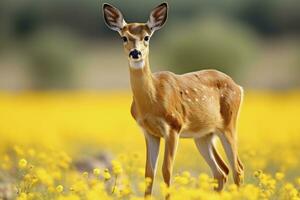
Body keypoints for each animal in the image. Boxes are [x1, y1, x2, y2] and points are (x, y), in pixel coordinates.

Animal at [102, 2, 244, 198]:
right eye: (124, 37)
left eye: (146, 37)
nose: (135, 53)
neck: (152, 101)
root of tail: (238, 87)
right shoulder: (149, 132)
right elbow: (149, 173)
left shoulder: (174, 126)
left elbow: (166, 170)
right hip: (203, 135)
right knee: (221, 171)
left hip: (229, 124)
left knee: (237, 168)